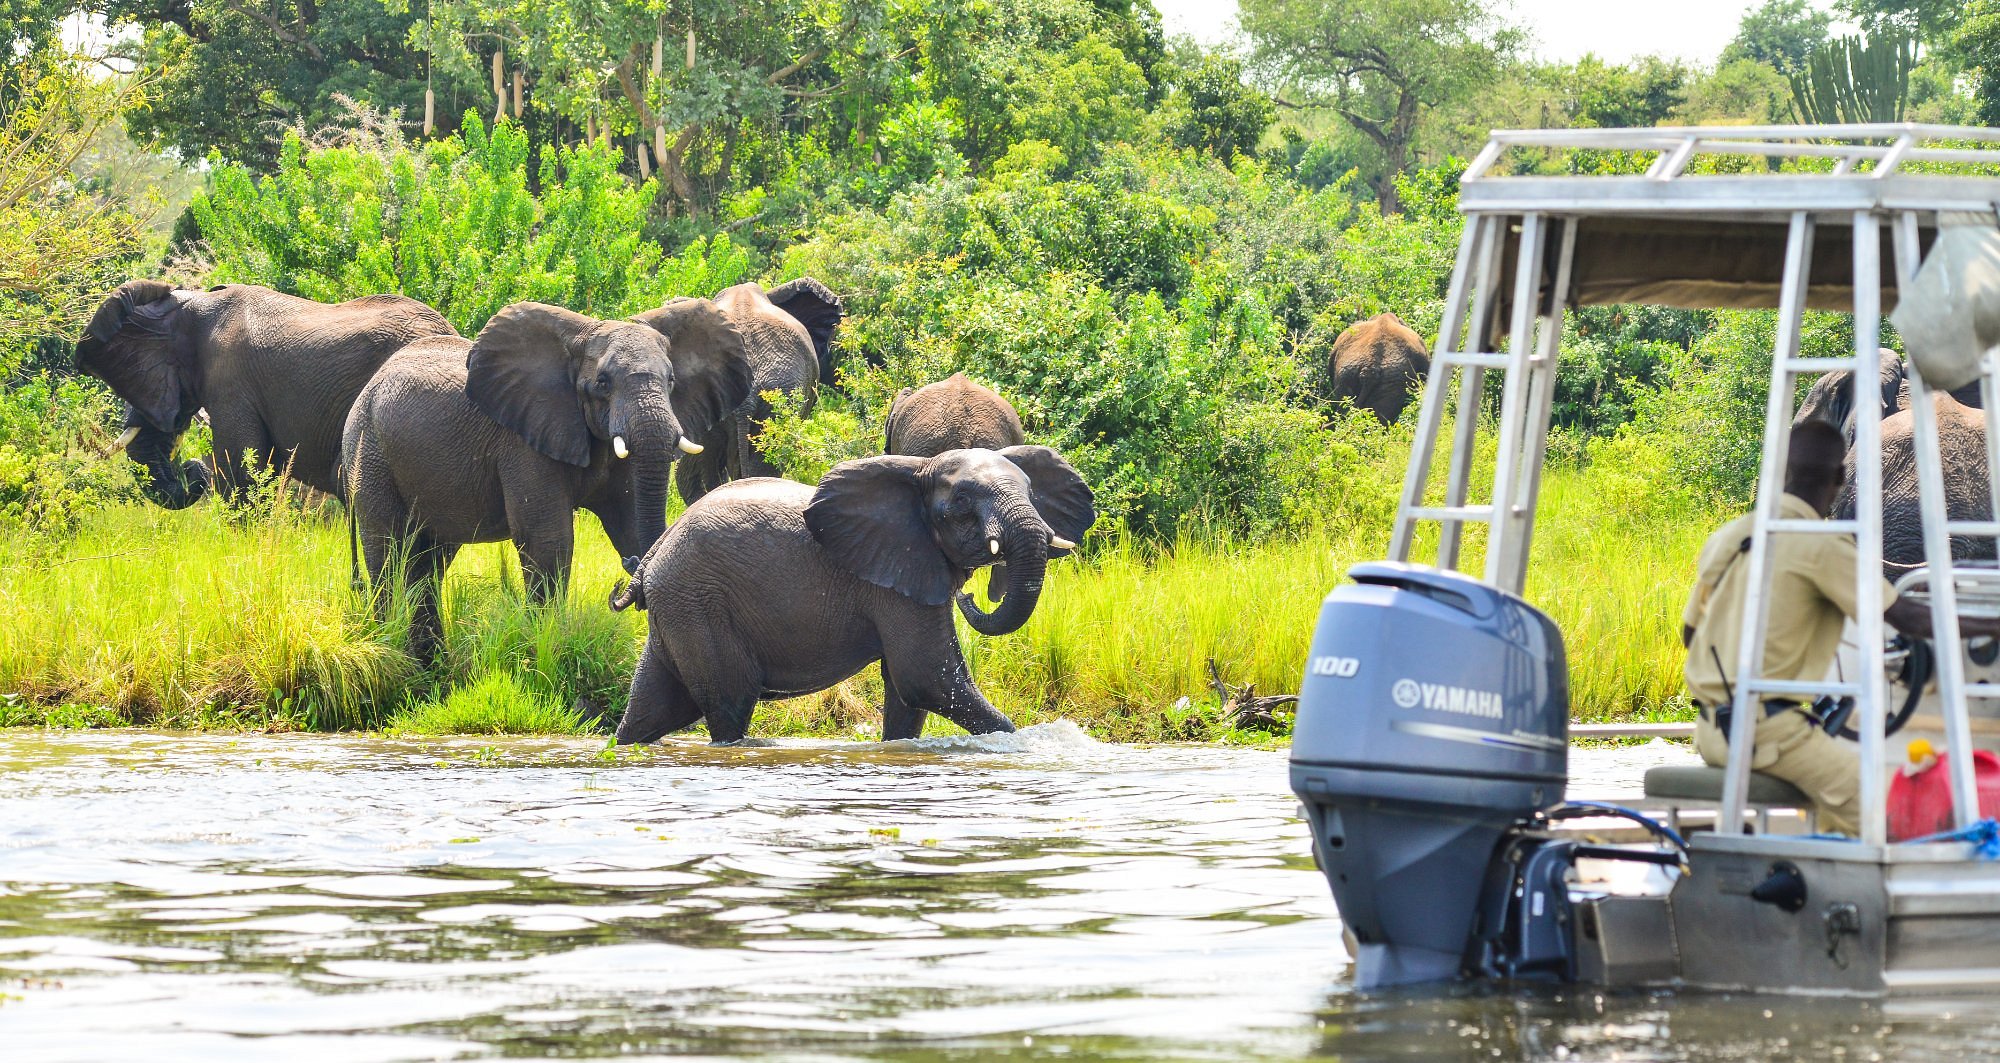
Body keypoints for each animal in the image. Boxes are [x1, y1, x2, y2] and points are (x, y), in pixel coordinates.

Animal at [340, 301, 752, 663]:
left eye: (671, 380)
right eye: (602, 383)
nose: (627, 572)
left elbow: (630, 523)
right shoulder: (523, 442)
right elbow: (547, 540)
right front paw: (546, 644)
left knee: (428, 560)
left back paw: (431, 660)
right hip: (369, 447)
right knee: (389, 548)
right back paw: (398, 655)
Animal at [616, 443, 1104, 743]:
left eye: (1031, 493)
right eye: (963, 501)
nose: (972, 598)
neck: (920, 470)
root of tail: (651, 560)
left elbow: (908, 694)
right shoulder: (894, 578)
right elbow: (928, 678)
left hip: (678, 607)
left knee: (654, 709)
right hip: (698, 602)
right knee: (729, 703)